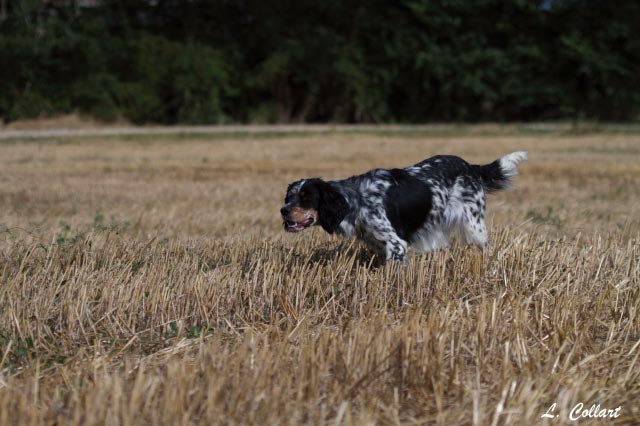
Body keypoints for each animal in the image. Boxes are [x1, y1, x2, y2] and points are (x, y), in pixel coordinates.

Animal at [282, 150, 528, 262]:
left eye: (306, 197)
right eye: (290, 197)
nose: (283, 211)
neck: (354, 199)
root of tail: (470, 166)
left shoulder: (397, 244)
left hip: (474, 227)